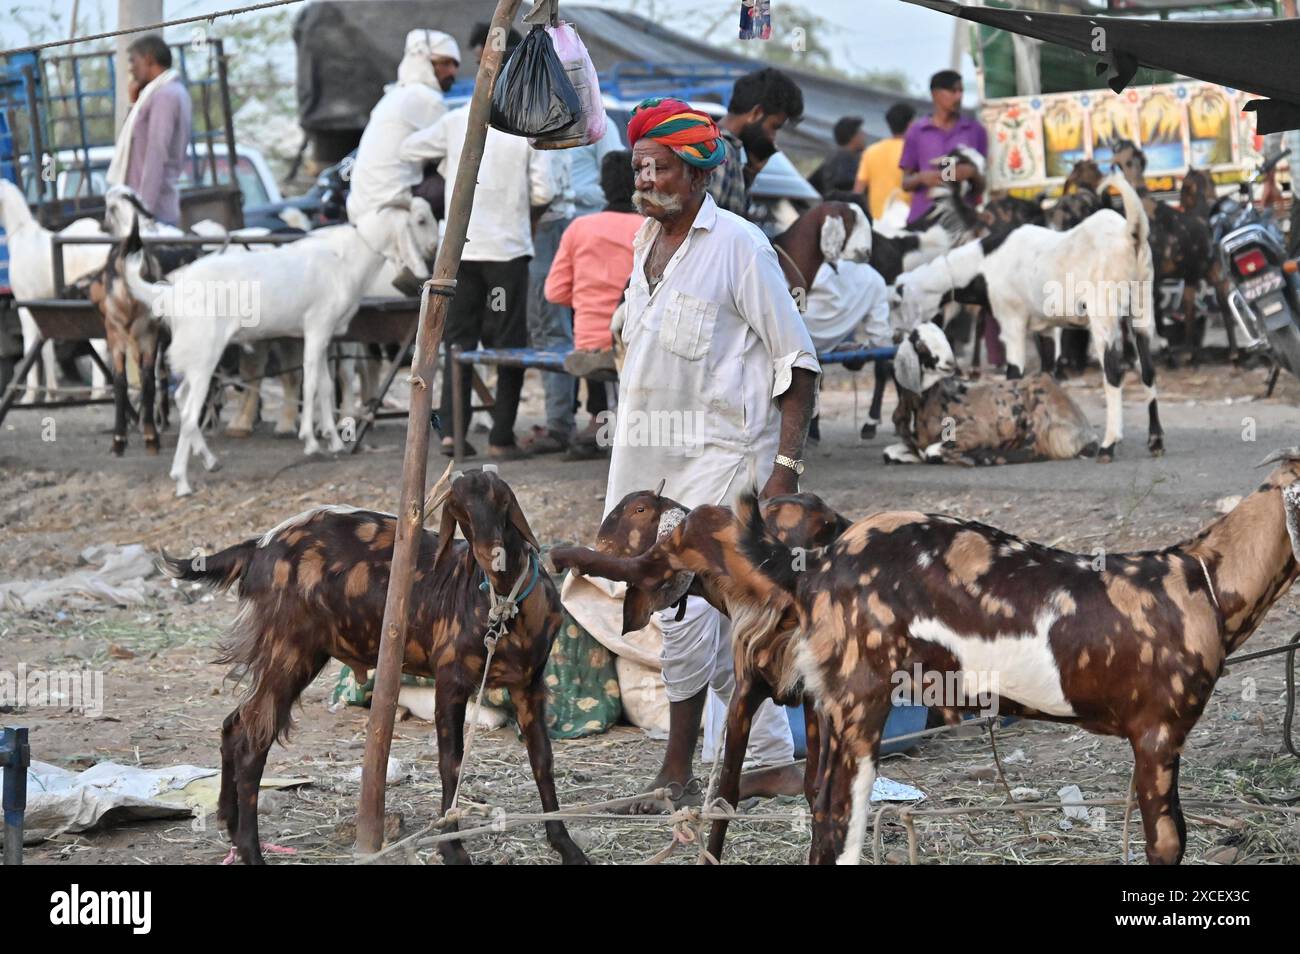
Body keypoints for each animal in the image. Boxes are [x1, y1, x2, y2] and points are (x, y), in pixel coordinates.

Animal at [124, 197, 436, 496]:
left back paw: (210, 461)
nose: (433, 248)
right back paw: (182, 482)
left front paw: (333, 440)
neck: (343, 260)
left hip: (193, 358)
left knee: (181, 399)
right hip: (204, 356)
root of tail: (171, 292)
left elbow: (325, 386)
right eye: (420, 220)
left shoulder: (326, 337)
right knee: (189, 413)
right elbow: (310, 383)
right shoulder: (316, 328)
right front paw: (311, 441)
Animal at [161, 470, 585, 868]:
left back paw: (230, 826)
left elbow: (543, 760)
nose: (490, 554)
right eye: (459, 512)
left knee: (235, 725)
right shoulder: (451, 681)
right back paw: (251, 851)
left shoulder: (530, 685)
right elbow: (451, 763)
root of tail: (257, 547)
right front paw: (452, 849)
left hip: (293, 655)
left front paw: (565, 844)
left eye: (501, 500)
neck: (504, 607)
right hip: (287, 650)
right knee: (252, 742)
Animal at [548, 488, 852, 863]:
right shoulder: (800, 697)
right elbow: (813, 790)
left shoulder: (746, 692)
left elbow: (726, 793)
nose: (601, 542)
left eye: (638, 509)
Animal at [738, 454, 1300, 868]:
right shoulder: (1159, 733)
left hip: (833, 705)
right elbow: (1167, 842)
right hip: (861, 697)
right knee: (840, 816)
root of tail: (817, 563)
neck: (1202, 583)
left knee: (820, 808)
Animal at [894, 178, 1159, 467]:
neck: (983, 264)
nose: (896, 336)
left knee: (1113, 372)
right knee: (1148, 369)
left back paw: (1108, 446)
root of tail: (1131, 232)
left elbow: (1013, 375)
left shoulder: (1012, 322)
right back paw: (1156, 442)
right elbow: (1047, 373)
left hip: (1104, 315)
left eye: (898, 300)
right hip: (1142, 305)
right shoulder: (1046, 328)